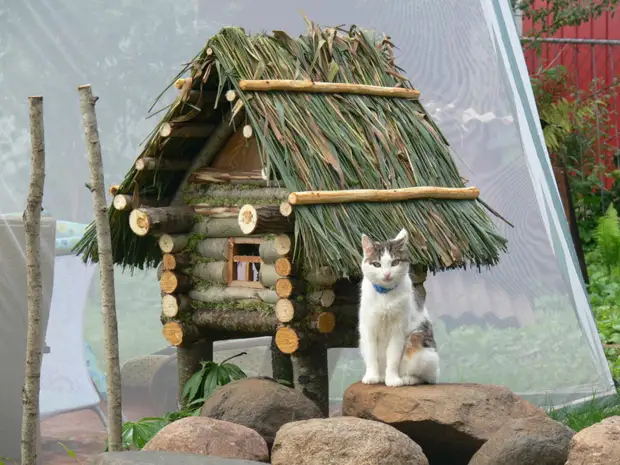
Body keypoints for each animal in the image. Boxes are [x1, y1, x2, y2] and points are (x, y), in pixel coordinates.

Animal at [356, 227, 438, 386]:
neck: (385, 295)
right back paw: (381, 376)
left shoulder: (398, 330)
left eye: (395, 262)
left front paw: (393, 379)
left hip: (419, 346)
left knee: (428, 378)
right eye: (377, 264)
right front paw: (371, 376)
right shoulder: (368, 327)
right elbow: (371, 356)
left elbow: (393, 357)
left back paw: (407, 378)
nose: (387, 274)